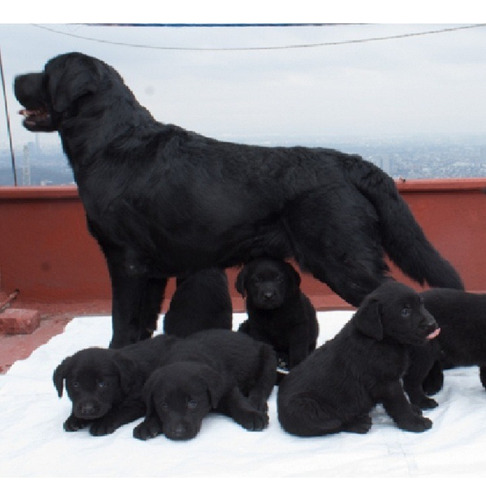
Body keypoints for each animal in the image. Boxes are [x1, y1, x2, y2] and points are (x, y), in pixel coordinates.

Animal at [14, 51, 464, 348]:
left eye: (46, 71)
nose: (16, 77)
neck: (113, 141)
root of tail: (346, 161)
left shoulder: (125, 261)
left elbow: (121, 324)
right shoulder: (150, 270)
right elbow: (141, 326)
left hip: (344, 260)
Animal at [133, 330, 278, 440]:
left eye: (192, 403)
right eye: (164, 405)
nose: (179, 433)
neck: (185, 356)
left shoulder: (227, 386)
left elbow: (237, 402)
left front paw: (252, 415)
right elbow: (153, 410)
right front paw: (147, 425)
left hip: (268, 358)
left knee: (262, 385)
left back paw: (256, 402)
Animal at [278, 282, 440, 438]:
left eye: (421, 304)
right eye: (405, 311)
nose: (433, 324)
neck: (382, 341)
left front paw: (413, 410)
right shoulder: (387, 383)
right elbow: (400, 404)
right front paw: (414, 422)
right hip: (303, 407)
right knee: (333, 423)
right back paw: (358, 423)